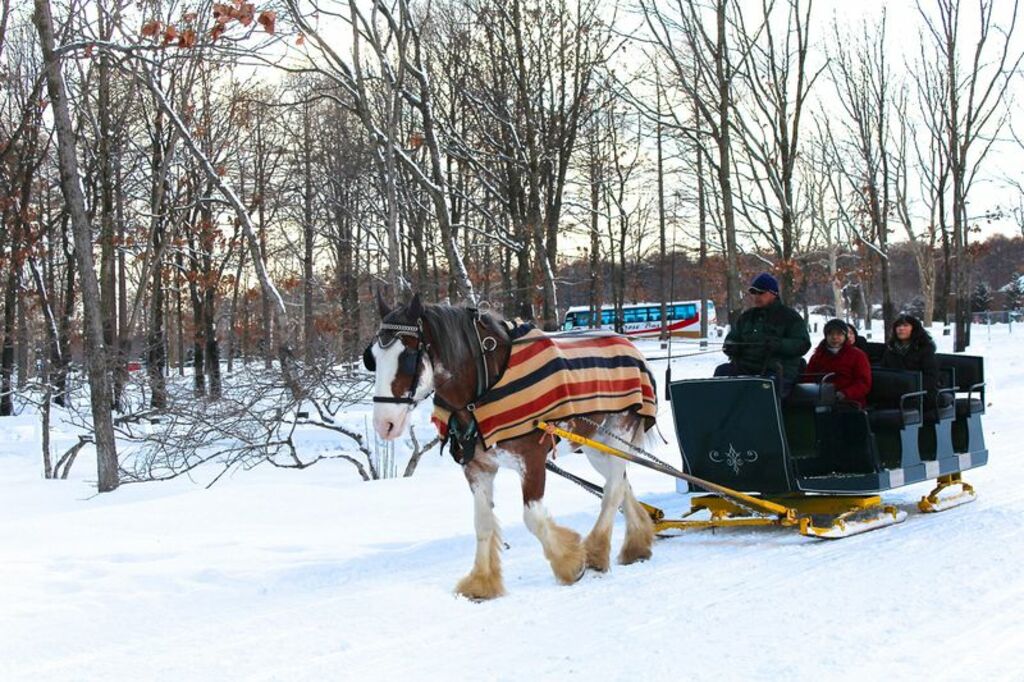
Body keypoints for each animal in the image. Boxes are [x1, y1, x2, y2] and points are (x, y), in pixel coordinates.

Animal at [364, 293, 658, 600]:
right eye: (372, 358)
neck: (483, 389)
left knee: (612, 490)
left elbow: (533, 517)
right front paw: (481, 583)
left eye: (407, 357)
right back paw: (637, 544)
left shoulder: (533, 460)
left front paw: (569, 563)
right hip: (596, 445)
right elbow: (482, 523)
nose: (384, 424)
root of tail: (631, 346)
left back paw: (597, 552)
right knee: (621, 482)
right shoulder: (477, 468)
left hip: (619, 430)